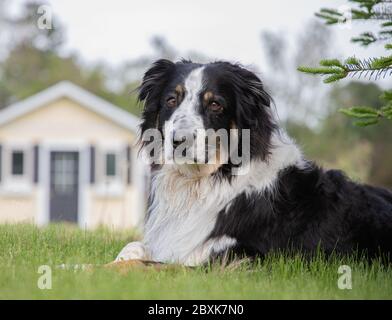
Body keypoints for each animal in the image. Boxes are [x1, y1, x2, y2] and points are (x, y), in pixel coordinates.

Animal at [114, 59, 392, 264]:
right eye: (172, 100)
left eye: (215, 104)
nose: (179, 141)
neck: (206, 179)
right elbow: (130, 251)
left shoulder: (233, 255)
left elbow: (151, 265)